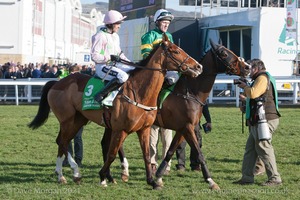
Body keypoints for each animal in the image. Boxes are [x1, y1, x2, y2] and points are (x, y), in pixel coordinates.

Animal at [28, 34, 202, 189]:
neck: (139, 92)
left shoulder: (144, 129)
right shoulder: (120, 129)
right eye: (176, 51)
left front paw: (152, 181)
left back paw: (64, 174)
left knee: (61, 141)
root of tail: (57, 83)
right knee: (63, 142)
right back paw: (72, 173)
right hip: (67, 120)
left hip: (79, 120)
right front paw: (103, 177)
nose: (198, 66)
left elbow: (146, 154)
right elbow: (112, 153)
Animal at [102, 38, 250, 189]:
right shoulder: (188, 127)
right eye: (224, 53)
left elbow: (170, 151)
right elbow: (199, 153)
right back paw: (120, 172)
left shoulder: (182, 129)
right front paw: (210, 181)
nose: (247, 67)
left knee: (108, 144)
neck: (189, 92)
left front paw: (159, 176)